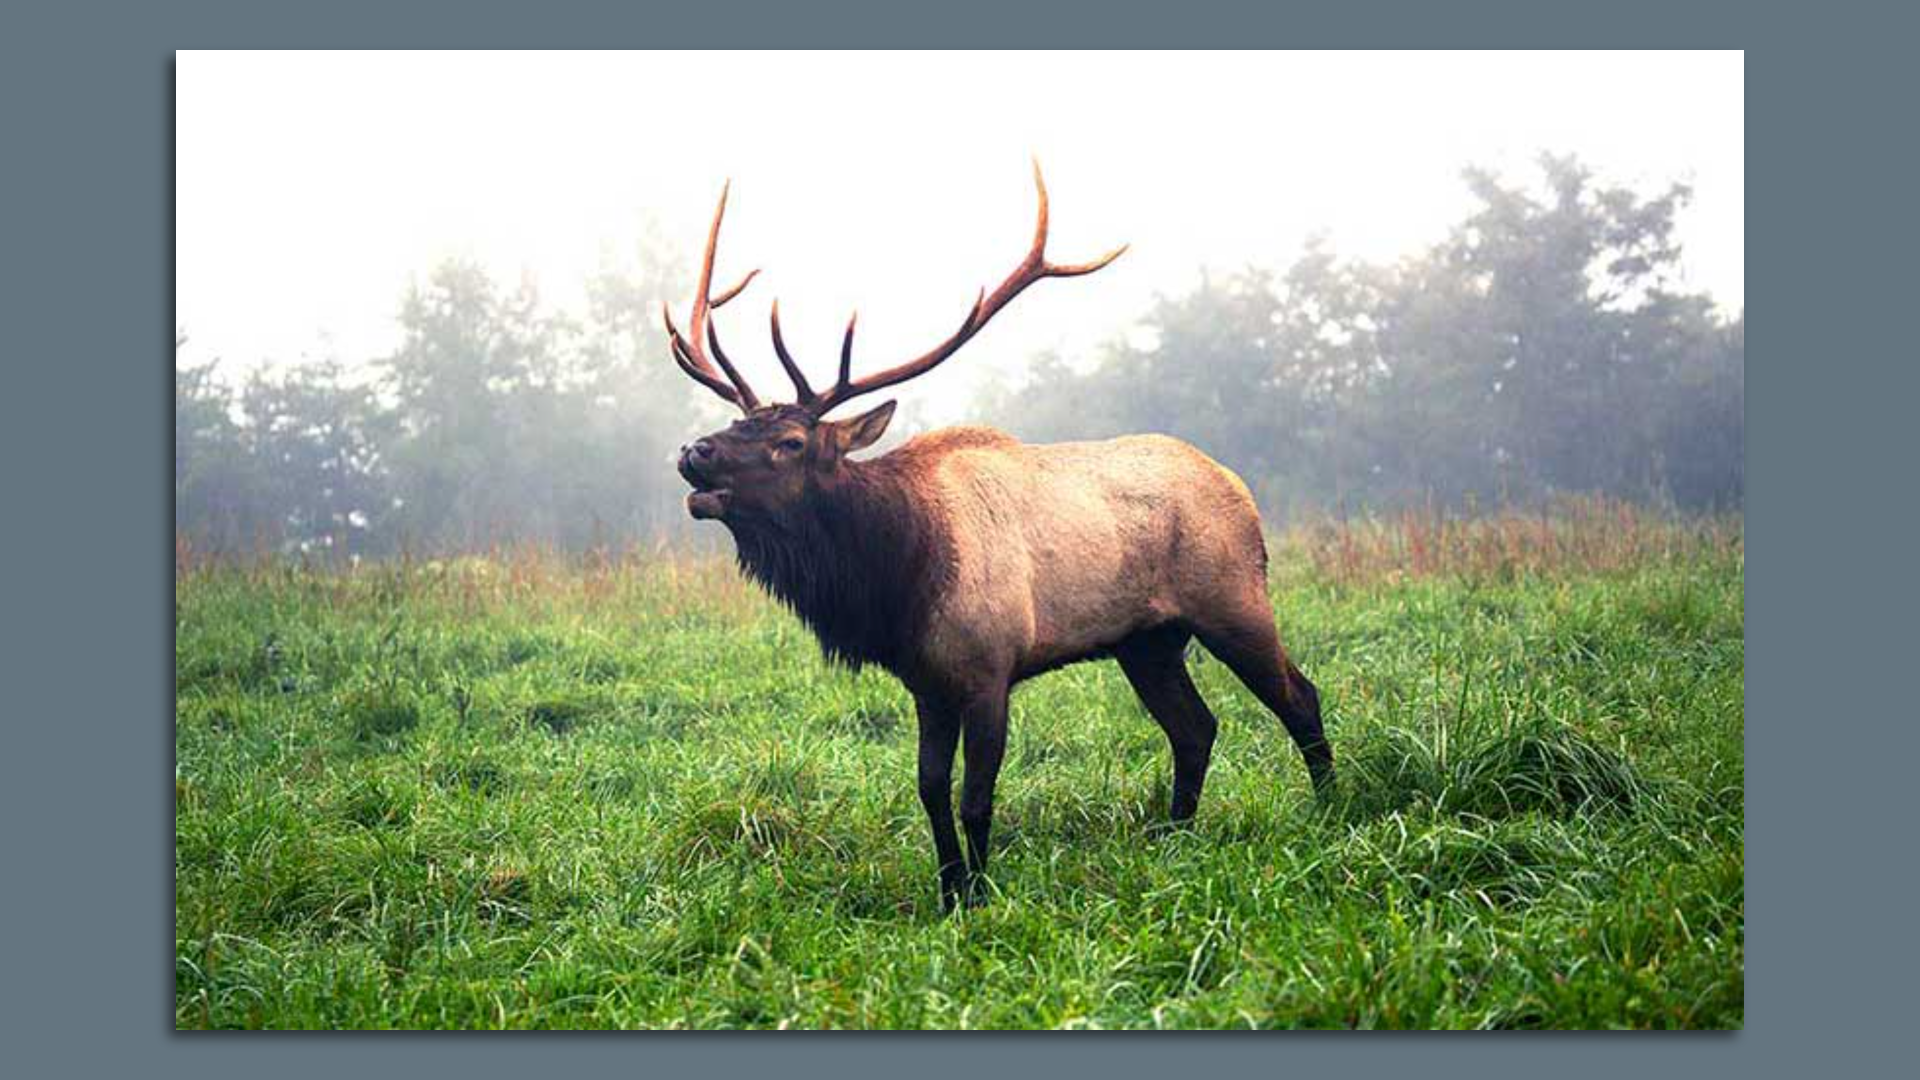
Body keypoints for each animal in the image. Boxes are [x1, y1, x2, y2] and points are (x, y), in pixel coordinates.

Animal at [665, 164, 1332, 911]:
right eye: (734, 423)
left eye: (790, 441)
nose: (694, 451)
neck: (899, 577)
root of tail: (1241, 488)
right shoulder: (926, 682)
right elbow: (929, 789)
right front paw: (948, 890)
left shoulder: (989, 667)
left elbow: (975, 796)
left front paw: (980, 896)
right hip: (1147, 641)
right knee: (1195, 727)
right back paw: (1176, 836)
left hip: (1233, 600)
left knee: (1299, 698)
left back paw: (1331, 811)